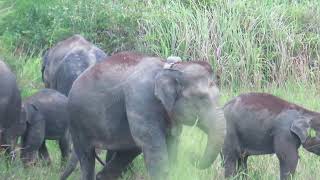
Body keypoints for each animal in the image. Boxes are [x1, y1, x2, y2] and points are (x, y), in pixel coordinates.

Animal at [67, 51, 225, 179]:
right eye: (202, 99)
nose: (193, 156)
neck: (170, 68)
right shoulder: (140, 99)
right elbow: (154, 148)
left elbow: (172, 142)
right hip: (77, 123)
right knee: (86, 157)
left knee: (128, 152)